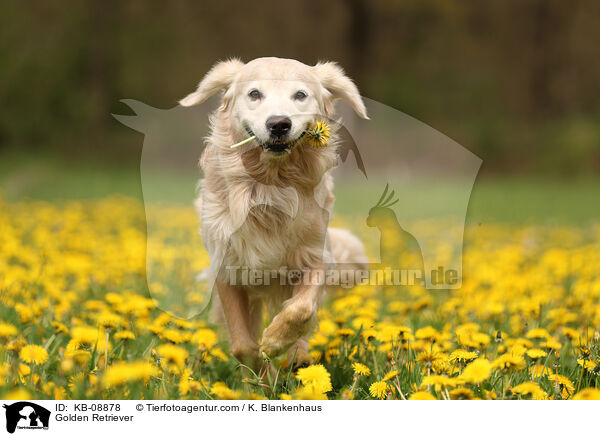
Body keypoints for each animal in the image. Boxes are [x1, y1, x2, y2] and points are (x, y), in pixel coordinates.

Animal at [180, 57, 370, 372]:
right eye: (254, 94)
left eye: (300, 95)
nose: (279, 124)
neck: (269, 186)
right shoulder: (227, 267)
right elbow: (242, 345)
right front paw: (263, 369)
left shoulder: (317, 255)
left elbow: (302, 309)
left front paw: (275, 342)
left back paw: (298, 358)